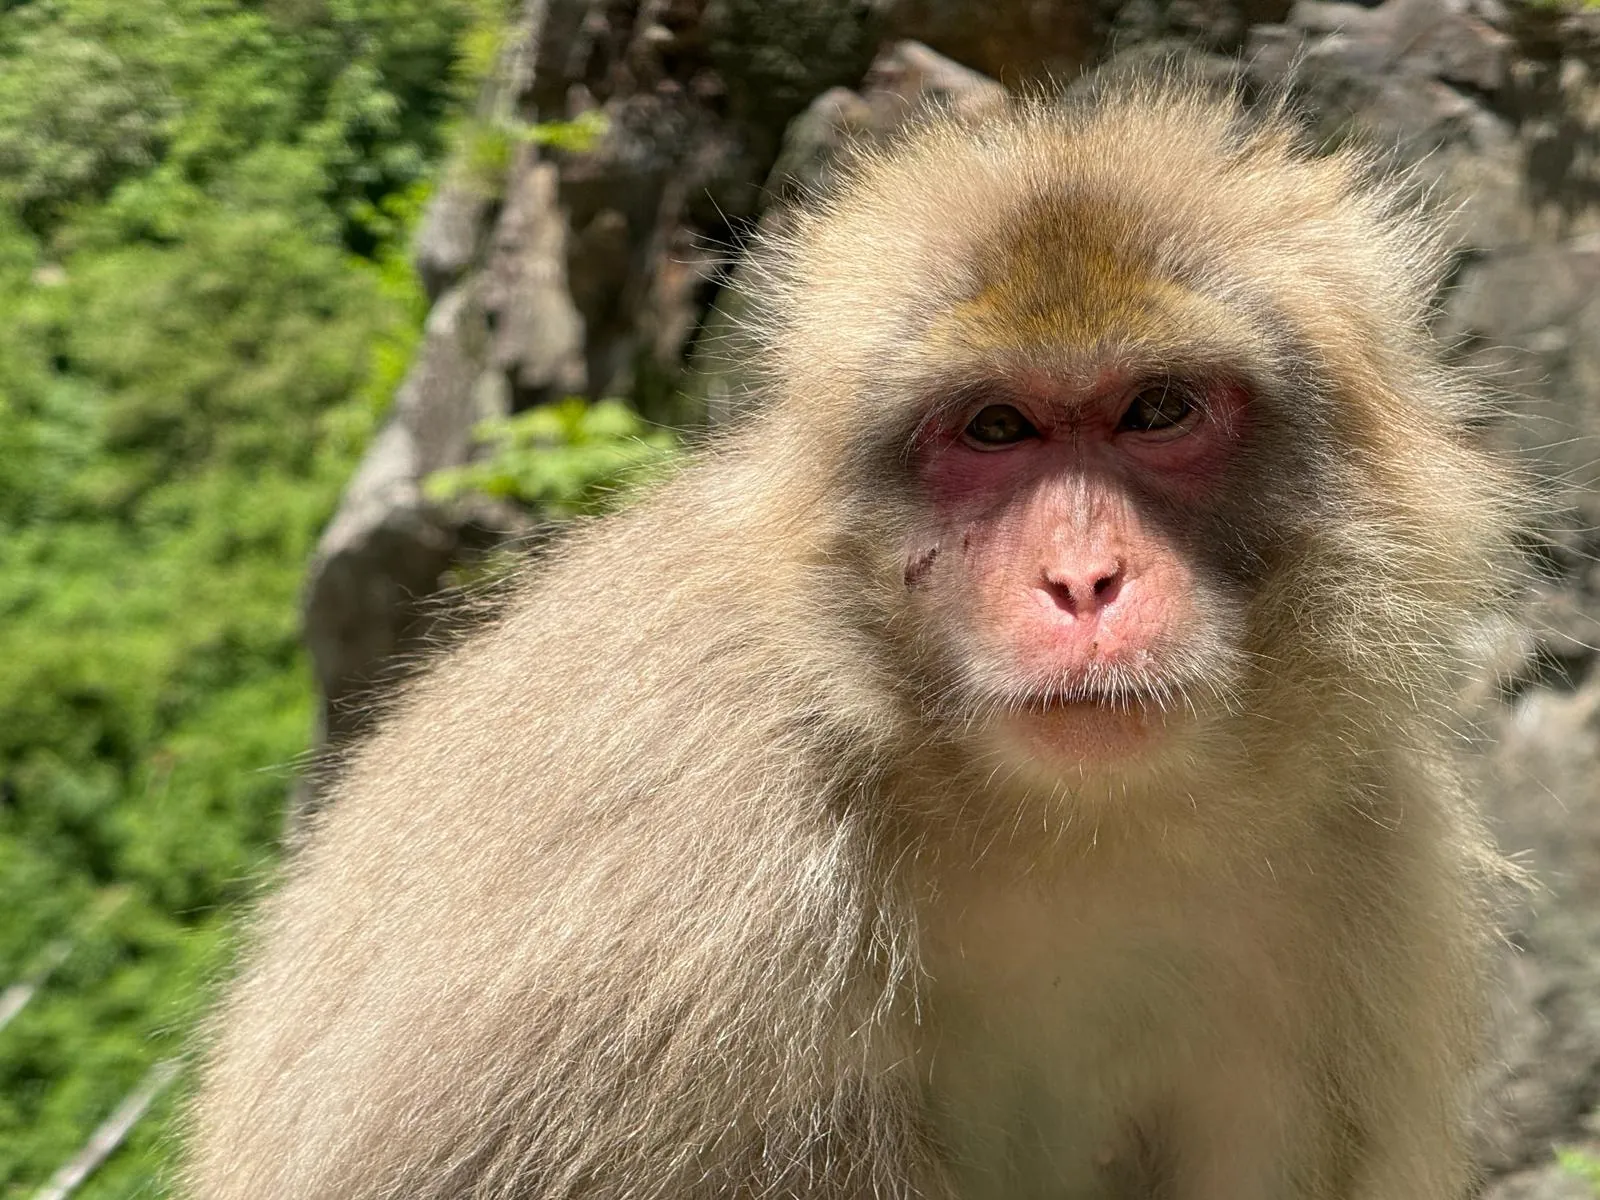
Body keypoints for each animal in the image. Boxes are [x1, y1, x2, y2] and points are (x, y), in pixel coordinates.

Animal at [190, 73, 1521, 1200]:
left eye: (1155, 411)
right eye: (995, 428)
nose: (1083, 581)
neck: (1058, 824)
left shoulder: (1362, 857)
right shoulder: (684, 881)